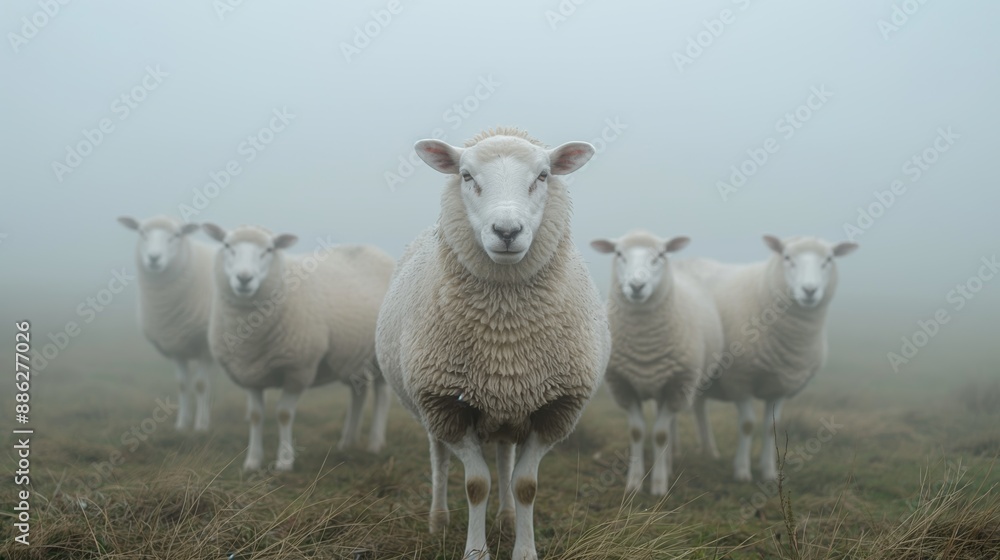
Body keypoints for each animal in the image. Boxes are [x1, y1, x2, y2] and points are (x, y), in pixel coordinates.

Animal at [118, 215, 215, 432]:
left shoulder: (204, 347)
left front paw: (201, 425)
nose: (154, 258)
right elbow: (182, 384)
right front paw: (182, 424)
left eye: (176, 235)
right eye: (142, 233)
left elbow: (202, 385)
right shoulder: (176, 345)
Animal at [201, 223, 394, 472]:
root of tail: (376, 251)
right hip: (353, 355)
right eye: (226, 245)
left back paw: (375, 443)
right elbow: (255, 416)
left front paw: (284, 462)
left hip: (380, 354)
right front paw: (252, 461)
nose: (244, 278)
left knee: (382, 394)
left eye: (269, 249)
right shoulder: (249, 373)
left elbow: (283, 414)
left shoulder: (299, 369)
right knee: (358, 393)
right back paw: (347, 441)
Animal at [376, 127, 610, 560]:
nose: (506, 231)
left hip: (510, 406)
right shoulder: (445, 406)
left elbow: (525, 485)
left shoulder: (555, 410)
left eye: (543, 175)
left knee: (504, 457)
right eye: (466, 175)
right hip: (429, 410)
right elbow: (476, 484)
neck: (504, 336)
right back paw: (438, 520)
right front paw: (475, 551)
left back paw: (505, 518)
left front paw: (524, 549)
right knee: (439, 461)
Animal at [590, 231, 723, 496]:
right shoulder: (624, 387)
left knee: (675, 422)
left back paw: (671, 463)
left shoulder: (677, 386)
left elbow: (660, 434)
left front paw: (659, 485)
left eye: (660, 255)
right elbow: (637, 432)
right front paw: (634, 483)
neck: (644, 344)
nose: (637, 286)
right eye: (619, 253)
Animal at [681, 235, 858, 481]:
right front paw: (742, 471)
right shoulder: (739, 379)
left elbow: (769, 428)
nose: (809, 290)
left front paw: (769, 472)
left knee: (699, 407)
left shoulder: (781, 385)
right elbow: (747, 425)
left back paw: (709, 451)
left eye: (829, 260)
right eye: (787, 257)